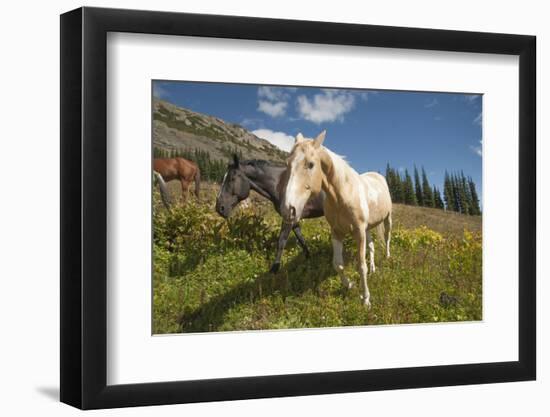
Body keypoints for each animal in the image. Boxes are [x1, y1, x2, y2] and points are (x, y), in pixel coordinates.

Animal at [282, 130, 394, 306]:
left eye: (310, 164)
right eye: (287, 163)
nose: (288, 209)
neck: (343, 195)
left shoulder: (358, 232)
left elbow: (361, 266)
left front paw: (366, 299)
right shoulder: (337, 232)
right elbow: (338, 265)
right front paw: (349, 285)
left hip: (387, 218)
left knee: (388, 237)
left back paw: (387, 257)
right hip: (368, 228)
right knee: (371, 247)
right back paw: (374, 269)